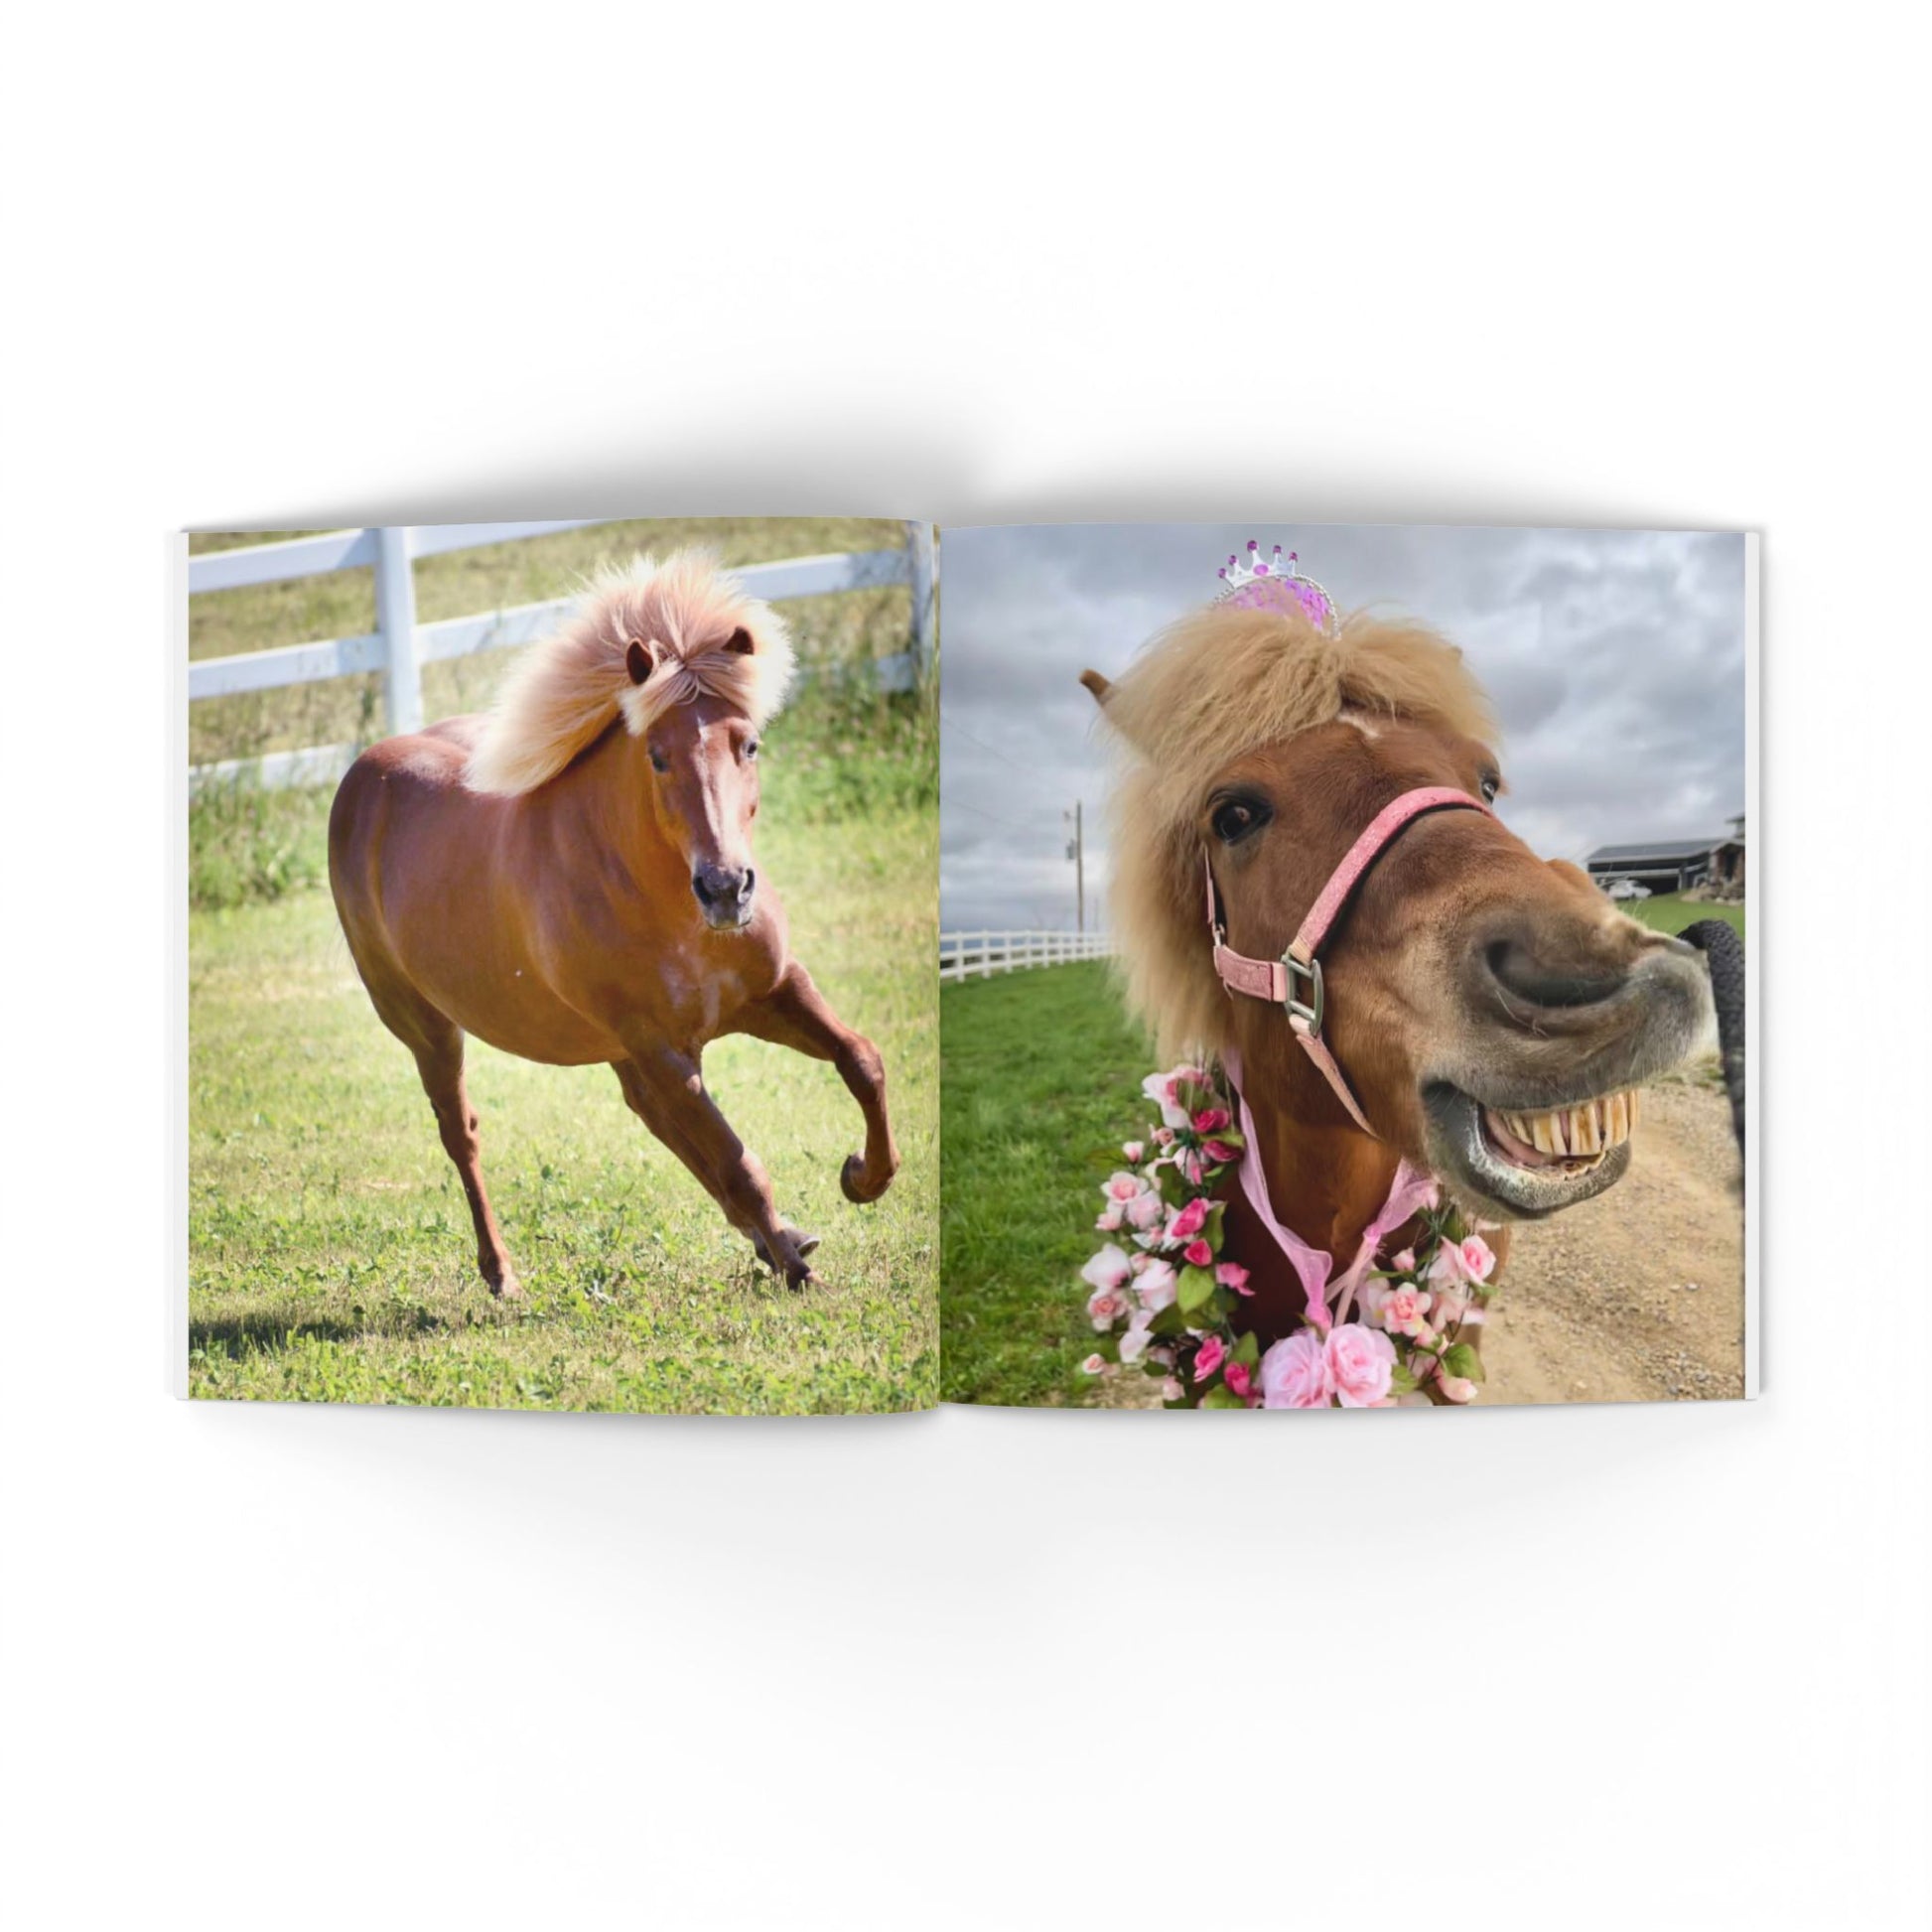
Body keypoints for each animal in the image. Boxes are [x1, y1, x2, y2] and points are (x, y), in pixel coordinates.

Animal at [328, 550, 899, 1297]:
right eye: (657, 755)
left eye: (750, 745)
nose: (725, 889)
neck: (673, 911)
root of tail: (361, 777)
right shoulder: (657, 1044)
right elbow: (737, 1157)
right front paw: (799, 1267)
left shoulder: (772, 993)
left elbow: (861, 1061)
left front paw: (863, 1179)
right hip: (425, 1026)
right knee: (462, 1133)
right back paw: (502, 1273)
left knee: (655, 1120)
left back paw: (772, 1237)